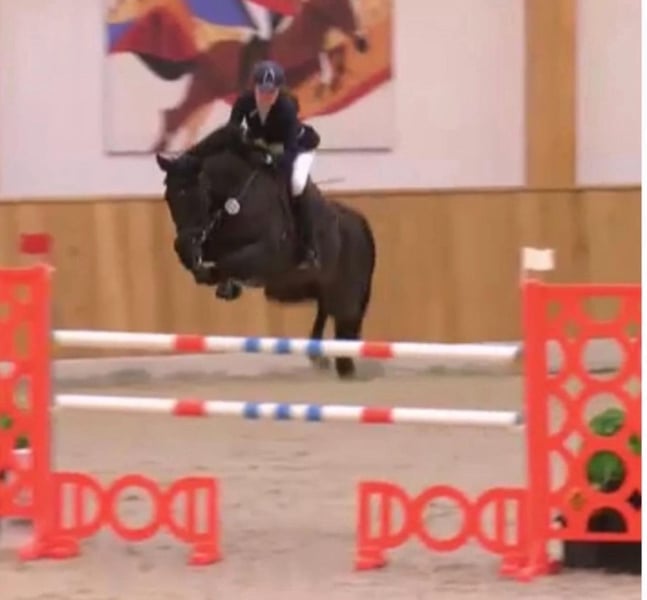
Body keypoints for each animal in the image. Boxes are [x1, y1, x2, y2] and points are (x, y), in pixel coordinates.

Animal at [151, 0, 369, 152]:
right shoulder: (296, 65)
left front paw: (335, 79)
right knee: (174, 116)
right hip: (202, 89)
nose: (362, 43)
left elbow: (333, 52)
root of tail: (203, 55)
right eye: (339, 8)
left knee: (178, 117)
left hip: (207, 94)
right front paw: (328, 82)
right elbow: (321, 58)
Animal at [155, 125, 376, 379]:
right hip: (318, 289)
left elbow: (230, 263)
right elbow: (212, 261)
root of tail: (360, 223)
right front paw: (206, 271)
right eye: (169, 196)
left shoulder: (264, 253)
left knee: (344, 323)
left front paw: (223, 283)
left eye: (197, 194)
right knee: (325, 313)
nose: (186, 244)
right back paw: (321, 358)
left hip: (345, 293)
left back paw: (344, 367)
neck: (235, 197)